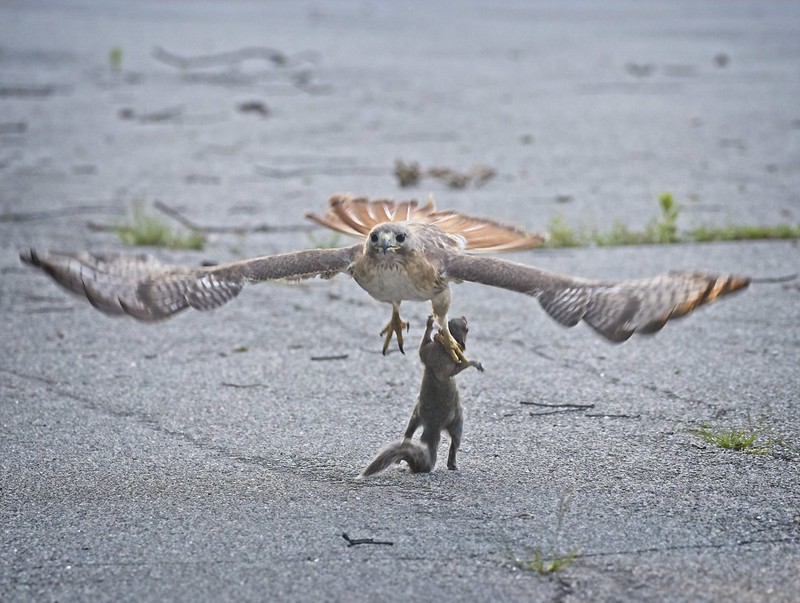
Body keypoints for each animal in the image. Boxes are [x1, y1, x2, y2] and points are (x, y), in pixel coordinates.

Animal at [360, 314, 484, 478]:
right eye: (466, 328)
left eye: (449, 320)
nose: (464, 316)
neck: (442, 345)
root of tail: (432, 427)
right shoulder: (447, 364)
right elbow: (457, 368)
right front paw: (475, 363)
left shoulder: (426, 351)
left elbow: (422, 346)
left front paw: (430, 323)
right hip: (457, 421)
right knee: (454, 445)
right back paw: (453, 465)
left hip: (415, 415)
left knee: (408, 434)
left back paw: (401, 458)